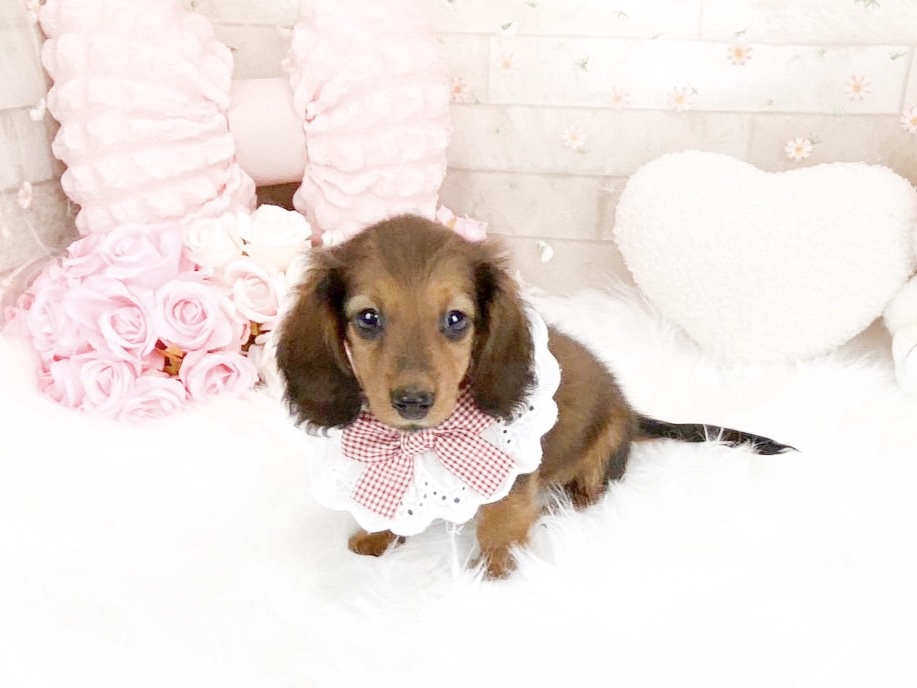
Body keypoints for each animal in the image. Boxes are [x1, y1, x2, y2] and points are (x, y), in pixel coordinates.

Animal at [276, 214, 791, 578]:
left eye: (456, 320)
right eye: (368, 318)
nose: (413, 403)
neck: (423, 441)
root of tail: (631, 412)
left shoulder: (515, 471)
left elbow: (502, 518)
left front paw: (495, 571)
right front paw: (376, 539)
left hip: (603, 451)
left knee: (596, 486)